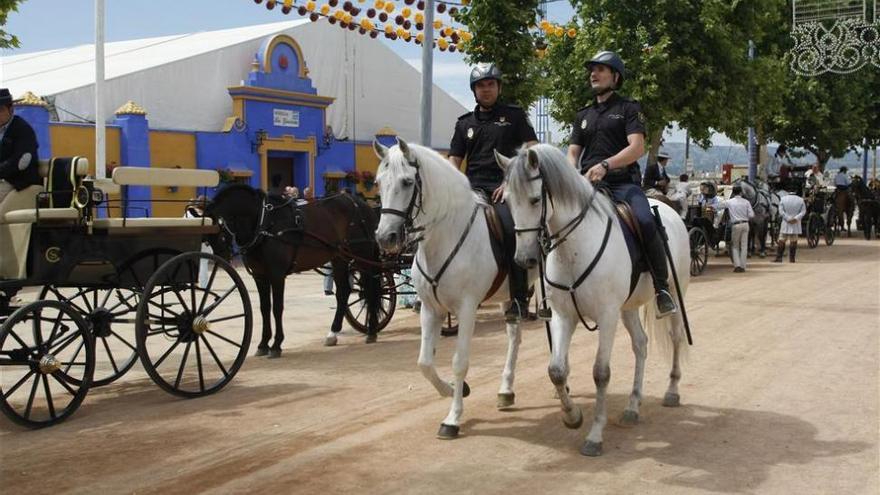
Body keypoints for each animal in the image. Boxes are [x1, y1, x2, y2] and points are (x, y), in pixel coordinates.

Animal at [208, 183, 384, 356]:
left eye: (217, 228)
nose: (221, 257)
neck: (264, 223)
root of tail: (364, 205)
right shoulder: (260, 276)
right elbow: (265, 308)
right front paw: (263, 343)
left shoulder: (277, 275)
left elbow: (277, 308)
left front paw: (276, 344)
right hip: (339, 257)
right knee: (343, 292)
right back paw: (333, 332)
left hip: (362, 254)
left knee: (369, 289)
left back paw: (371, 330)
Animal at [372, 138, 536, 440]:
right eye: (378, 182)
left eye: (407, 182)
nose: (385, 237)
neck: (445, 236)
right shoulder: (430, 309)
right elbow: (424, 362)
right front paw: (451, 390)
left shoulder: (467, 308)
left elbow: (460, 362)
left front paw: (453, 418)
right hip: (508, 297)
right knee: (514, 338)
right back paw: (506, 391)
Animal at [498, 143, 692, 458]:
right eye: (507, 201)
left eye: (535, 199)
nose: (523, 259)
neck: (574, 249)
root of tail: (668, 209)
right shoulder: (564, 316)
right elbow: (556, 370)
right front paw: (572, 416)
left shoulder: (607, 316)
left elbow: (601, 373)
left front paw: (595, 435)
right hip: (628, 307)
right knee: (641, 345)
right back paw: (632, 406)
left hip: (675, 291)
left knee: (675, 336)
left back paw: (672, 391)